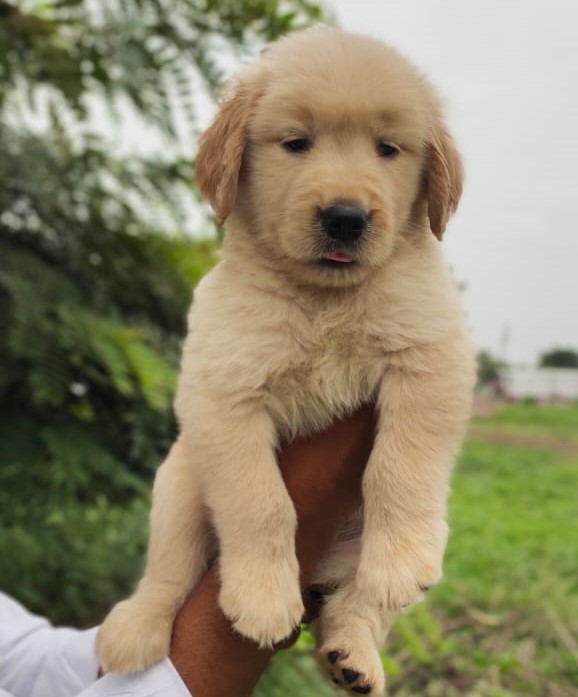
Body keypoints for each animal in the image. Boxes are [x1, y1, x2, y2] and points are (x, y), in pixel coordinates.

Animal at [97, 25, 474, 692]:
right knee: (169, 571)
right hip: (179, 484)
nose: (346, 218)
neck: (324, 297)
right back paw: (134, 627)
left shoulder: (430, 356)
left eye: (388, 149)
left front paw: (400, 556)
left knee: (358, 603)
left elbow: (399, 465)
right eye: (296, 143)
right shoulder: (222, 393)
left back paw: (354, 656)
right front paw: (263, 598)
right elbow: (261, 502)